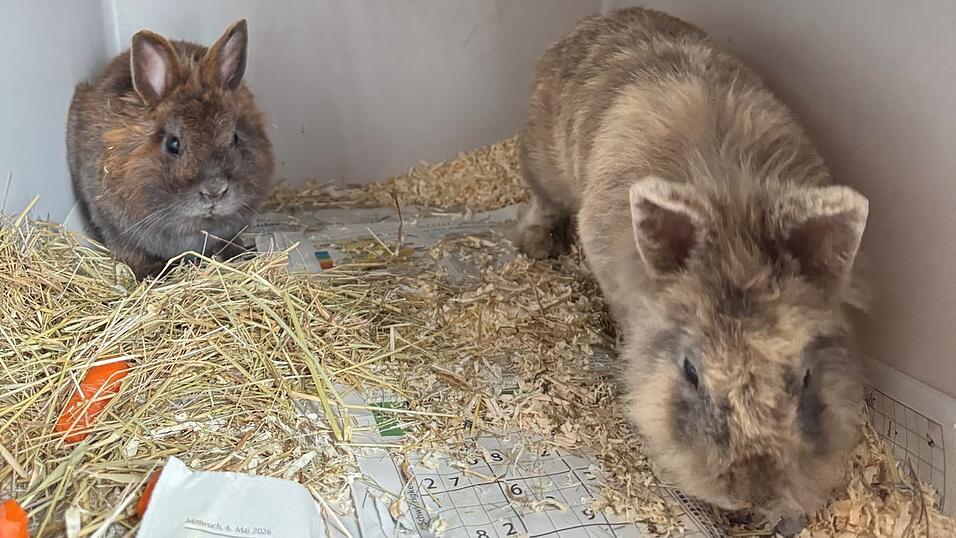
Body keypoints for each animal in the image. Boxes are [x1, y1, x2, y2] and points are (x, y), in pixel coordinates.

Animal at [67, 19, 274, 280]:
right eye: (172, 144)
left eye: (235, 138)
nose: (214, 192)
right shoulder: (115, 228)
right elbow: (132, 253)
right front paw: (151, 275)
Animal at [516, 8, 869, 534]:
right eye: (691, 372)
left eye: (806, 377)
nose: (751, 492)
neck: (735, 223)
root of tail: (600, 17)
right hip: (541, 161)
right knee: (543, 199)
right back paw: (536, 243)